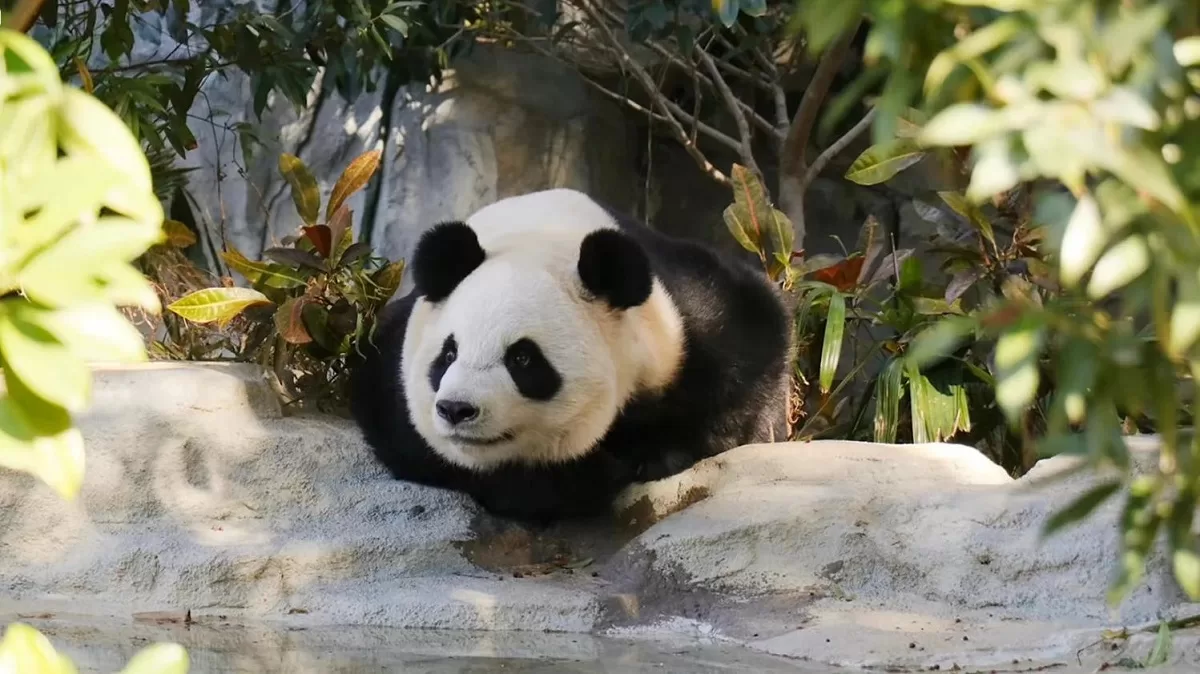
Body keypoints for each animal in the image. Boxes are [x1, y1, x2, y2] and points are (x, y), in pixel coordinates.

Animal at [348, 188, 792, 525]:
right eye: (448, 354)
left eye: (523, 359)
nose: (456, 409)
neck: (539, 237)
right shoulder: (394, 363)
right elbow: (414, 440)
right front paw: (586, 477)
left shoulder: (681, 316)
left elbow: (750, 349)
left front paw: (661, 453)